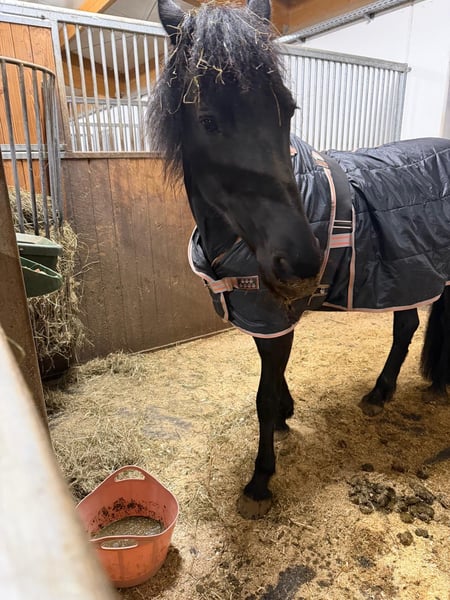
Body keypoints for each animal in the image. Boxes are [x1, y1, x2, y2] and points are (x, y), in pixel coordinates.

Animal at [148, 0, 450, 519]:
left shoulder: (277, 318)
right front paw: (288, 416)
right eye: (208, 120)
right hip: (406, 275)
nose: (302, 262)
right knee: (407, 326)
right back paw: (383, 393)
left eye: (287, 109)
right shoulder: (266, 321)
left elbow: (264, 398)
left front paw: (260, 480)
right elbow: (272, 384)